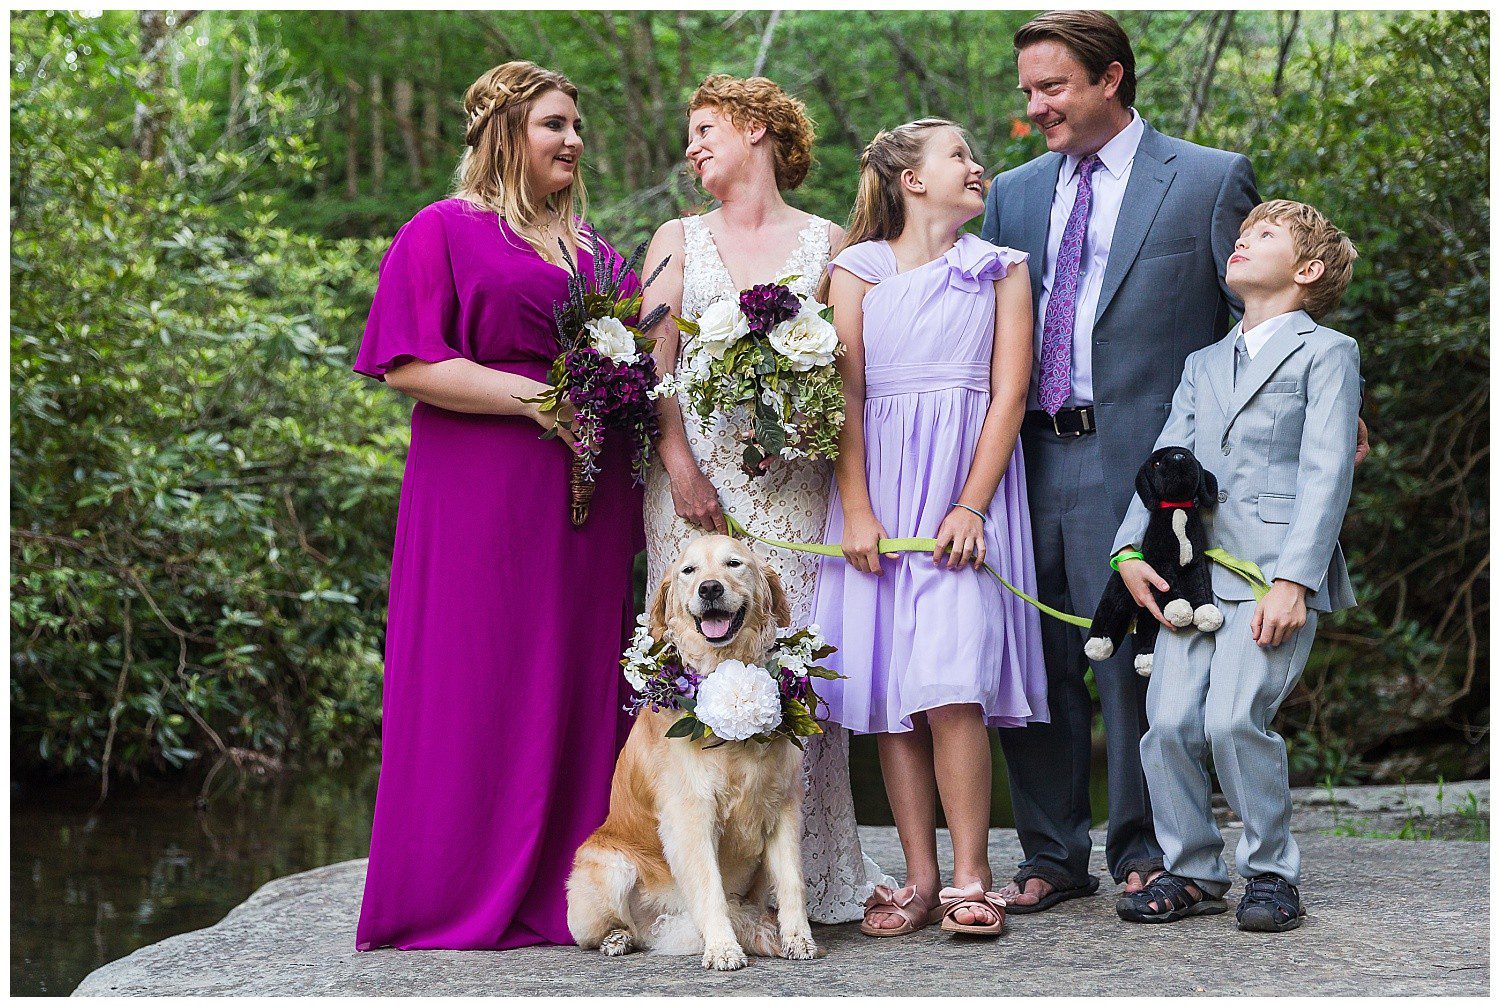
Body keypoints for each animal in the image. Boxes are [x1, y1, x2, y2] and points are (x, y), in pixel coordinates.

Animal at [564, 534, 822, 966]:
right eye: (689, 570)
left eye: (734, 564)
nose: (710, 588)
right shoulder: (691, 814)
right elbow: (708, 885)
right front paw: (722, 948)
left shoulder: (783, 805)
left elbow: (792, 881)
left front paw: (798, 938)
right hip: (608, 865)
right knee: (608, 928)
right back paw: (617, 938)